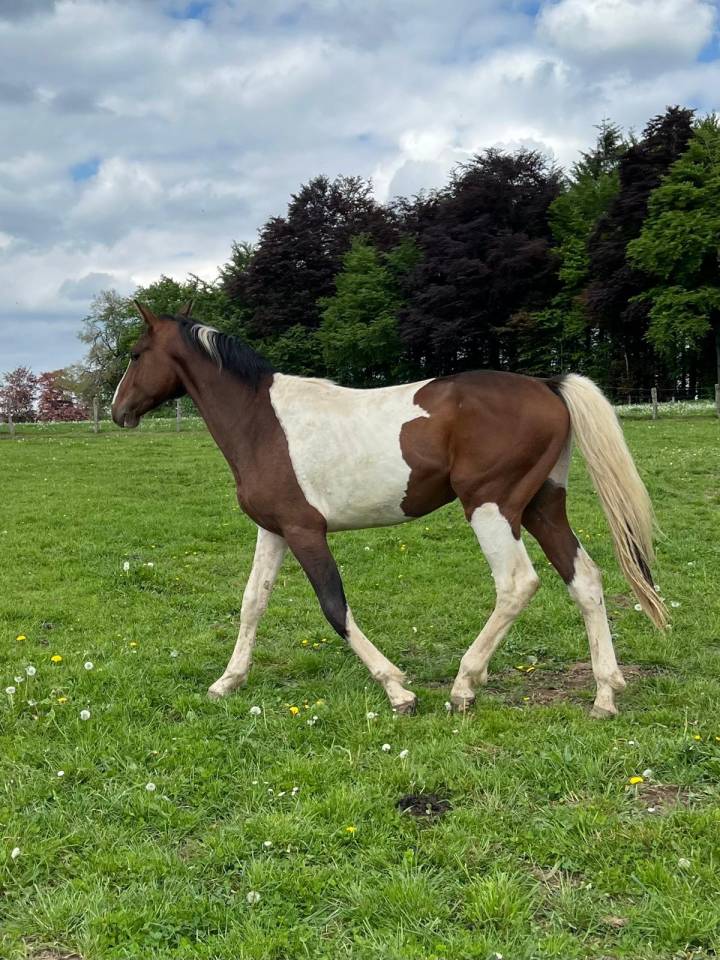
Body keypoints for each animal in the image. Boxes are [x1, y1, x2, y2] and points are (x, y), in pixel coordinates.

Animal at [112, 303, 667, 717]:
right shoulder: (274, 531)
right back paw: (604, 694)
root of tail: (547, 386)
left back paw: (465, 685)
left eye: (136, 354)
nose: (118, 412)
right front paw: (227, 682)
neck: (263, 423)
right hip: (541, 507)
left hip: (491, 507)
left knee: (517, 584)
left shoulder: (305, 530)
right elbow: (253, 603)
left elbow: (334, 607)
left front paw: (397, 688)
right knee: (585, 579)